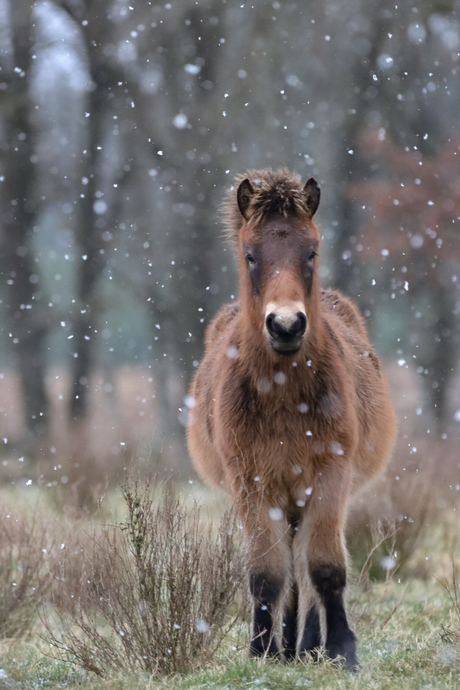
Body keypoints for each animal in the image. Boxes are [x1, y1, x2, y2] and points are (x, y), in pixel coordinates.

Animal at [186, 167, 396, 668]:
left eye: (312, 252)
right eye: (250, 255)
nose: (286, 325)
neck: (284, 400)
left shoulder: (329, 476)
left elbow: (324, 567)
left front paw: (341, 651)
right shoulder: (253, 484)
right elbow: (266, 573)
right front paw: (262, 651)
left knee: (304, 569)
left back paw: (309, 647)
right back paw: (288, 650)